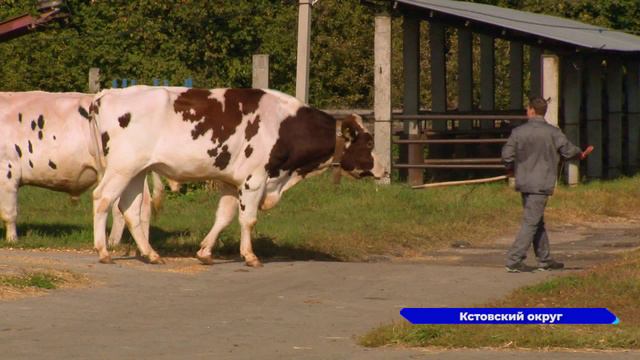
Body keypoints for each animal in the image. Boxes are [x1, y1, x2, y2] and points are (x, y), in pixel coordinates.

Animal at [89, 86, 384, 266]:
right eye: (369, 142)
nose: (384, 169)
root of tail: (106, 94)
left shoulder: (232, 182)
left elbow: (224, 216)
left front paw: (205, 252)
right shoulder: (255, 179)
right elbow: (248, 219)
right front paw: (250, 256)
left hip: (136, 171)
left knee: (130, 209)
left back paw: (151, 254)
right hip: (122, 168)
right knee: (102, 199)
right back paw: (103, 251)